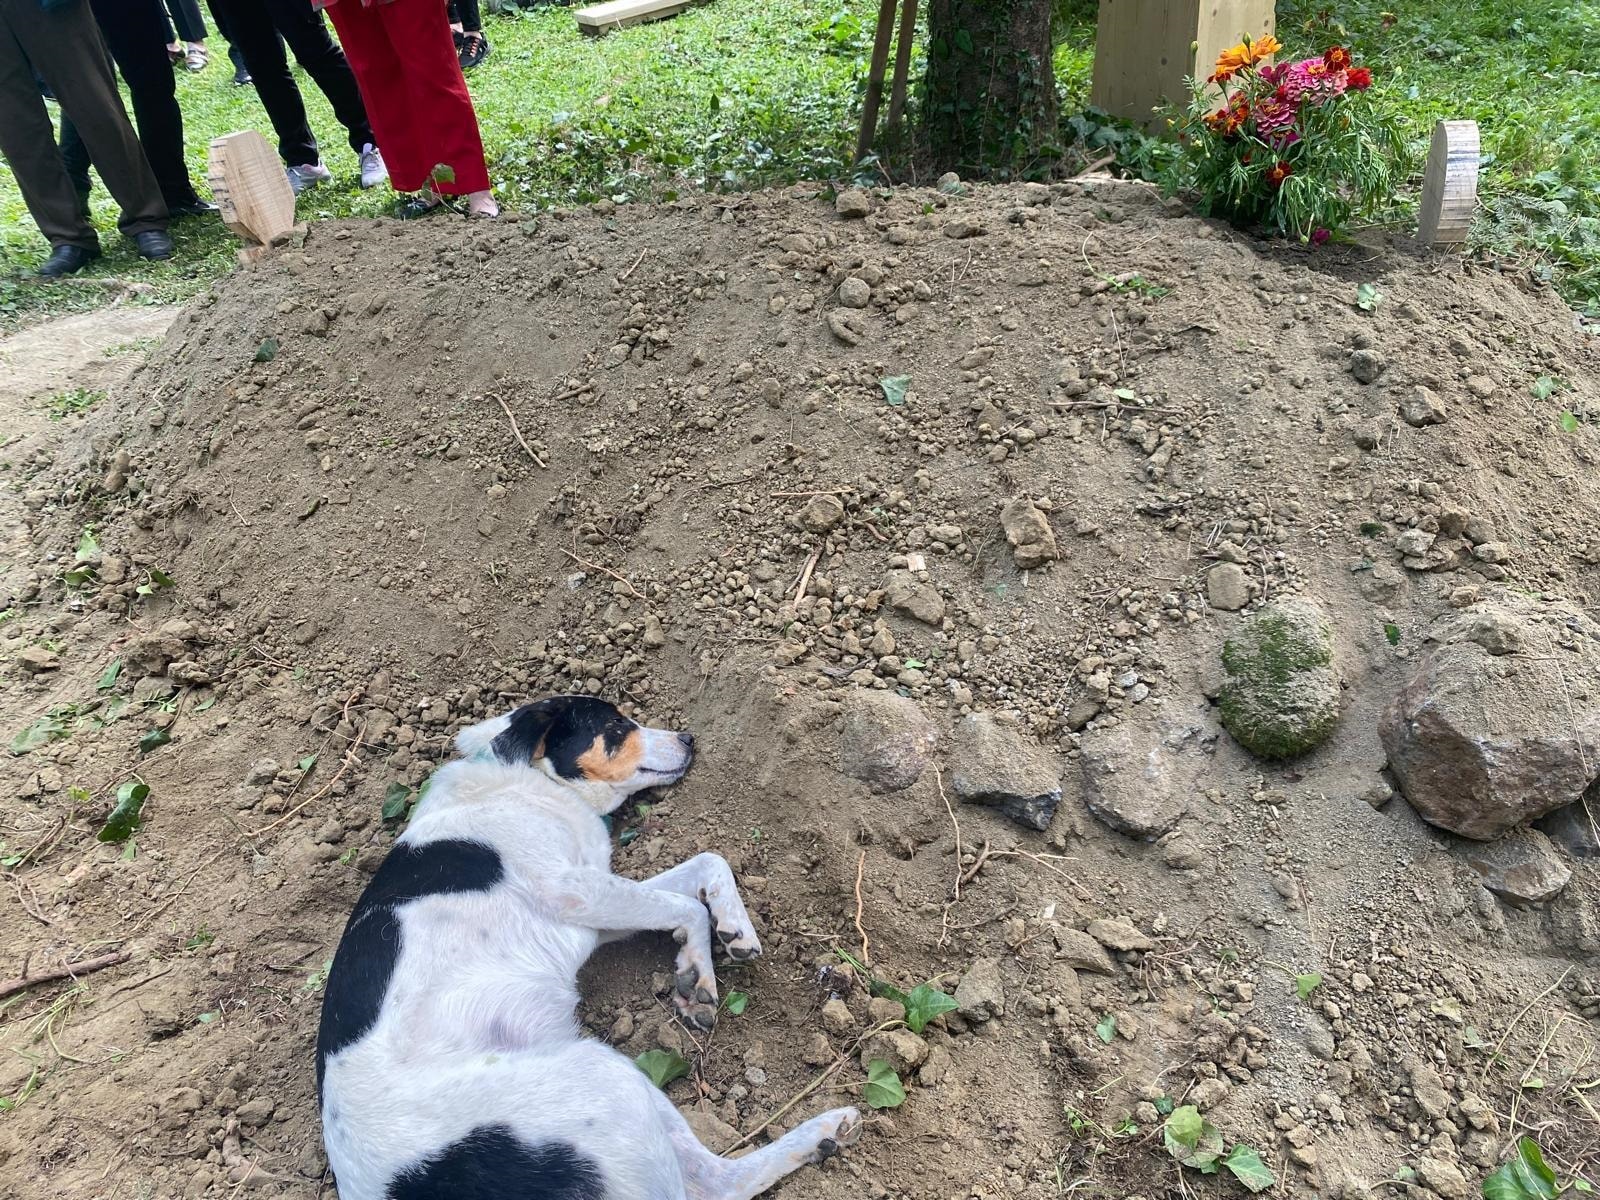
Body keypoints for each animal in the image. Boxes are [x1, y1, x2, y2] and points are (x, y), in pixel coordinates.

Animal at [315, 694, 864, 1200]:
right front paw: (697, 969)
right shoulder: (574, 891)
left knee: (719, 1180)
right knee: (710, 1184)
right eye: (617, 726)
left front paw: (735, 928)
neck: (532, 778)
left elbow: (709, 862)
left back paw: (823, 1133)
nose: (690, 738)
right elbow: (686, 906)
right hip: (603, 1083)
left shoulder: (599, 910)